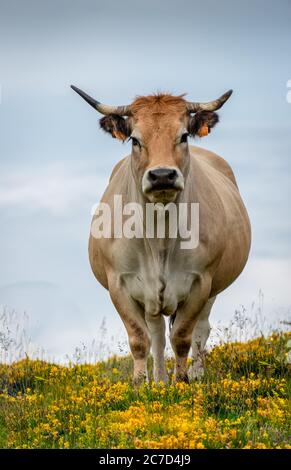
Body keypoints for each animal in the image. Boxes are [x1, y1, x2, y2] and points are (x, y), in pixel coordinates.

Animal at [72, 86, 252, 384]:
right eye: (135, 140)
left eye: (183, 136)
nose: (162, 175)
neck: (159, 239)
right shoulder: (119, 284)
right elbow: (139, 339)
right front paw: (139, 384)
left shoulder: (200, 282)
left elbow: (182, 337)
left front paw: (182, 381)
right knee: (156, 334)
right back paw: (158, 380)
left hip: (212, 289)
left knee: (201, 330)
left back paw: (195, 374)